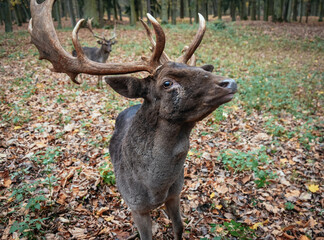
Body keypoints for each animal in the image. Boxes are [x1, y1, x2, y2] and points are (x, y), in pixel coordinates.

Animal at [29, 0, 237, 240]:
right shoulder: (136, 206)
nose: (230, 82)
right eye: (167, 83)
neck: (155, 188)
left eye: (195, 68)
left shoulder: (175, 194)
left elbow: (179, 227)